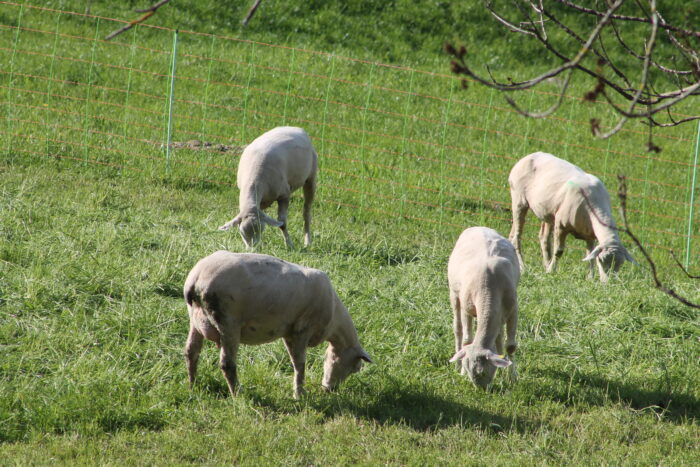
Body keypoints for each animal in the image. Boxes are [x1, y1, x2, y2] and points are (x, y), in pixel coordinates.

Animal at [185, 250, 372, 400]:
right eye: (355, 368)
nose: (329, 390)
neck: (334, 320)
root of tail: (196, 279)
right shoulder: (302, 329)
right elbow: (300, 363)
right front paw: (299, 394)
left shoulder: (288, 332)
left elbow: (295, 361)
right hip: (228, 322)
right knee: (227, 364)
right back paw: (237, 394)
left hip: (195, 319)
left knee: (191, 352)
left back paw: (193, 385)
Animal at [448, 228, 520, 392]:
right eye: (469, 371)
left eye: (482, 372)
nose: (482, 391)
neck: (488, 290)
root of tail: (477, 227)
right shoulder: (467, 308)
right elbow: (467, 341)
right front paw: (462, 372)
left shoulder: (513, 309)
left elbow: (510, 346)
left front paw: (511, 377)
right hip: (454, 293)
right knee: (458, 329)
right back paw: (456, 365)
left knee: (499, 336)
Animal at [506, 152, 636, 282]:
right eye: (601, 260)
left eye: (620, 264)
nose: (607, 283)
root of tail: (529, 155)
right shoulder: (561, 225)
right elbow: (559, 251)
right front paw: (552, 271)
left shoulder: (590, 235)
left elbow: (589, 254)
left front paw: (590, 277)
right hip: (519, 200)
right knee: (517, 237)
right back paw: (523, 267)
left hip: (547, 212)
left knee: (541, 238)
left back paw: (543, 264)